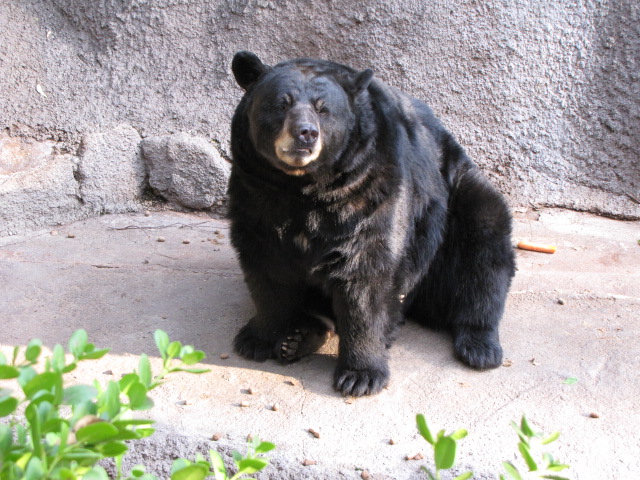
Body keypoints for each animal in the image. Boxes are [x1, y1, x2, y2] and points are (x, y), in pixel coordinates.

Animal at [228, 51, 516, 397]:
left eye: (324, 109)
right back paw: (298, 339)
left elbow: (366, 273)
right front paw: (256, 339)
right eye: (281, 103)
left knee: (485, 248)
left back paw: (480, 345)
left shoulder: (369, 186)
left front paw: (360, 375)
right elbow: (266, 266)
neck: (302, 187)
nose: (305, 133)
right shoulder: (255, 191)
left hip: (456, 201)